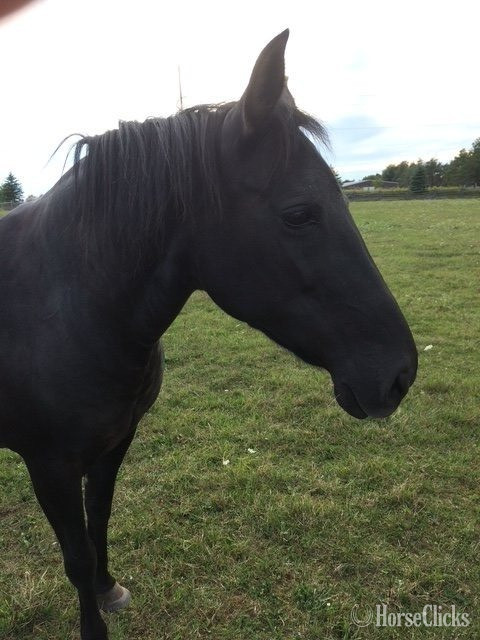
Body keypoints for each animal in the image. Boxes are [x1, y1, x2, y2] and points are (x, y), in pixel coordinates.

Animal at [0, 30, 417, 640]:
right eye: (299, 213)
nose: (400, 374)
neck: (59, 305)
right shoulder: (49, 464)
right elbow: (75, 553)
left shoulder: (113, 442)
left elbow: (99, 517)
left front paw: (107, 587)